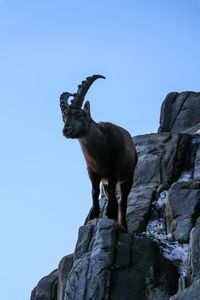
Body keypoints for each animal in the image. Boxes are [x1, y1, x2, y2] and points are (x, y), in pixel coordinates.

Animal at [59, 74, 138, 227]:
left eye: (79, 115)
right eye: (63, 118)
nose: (65, 130)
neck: (100, 151)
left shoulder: (114, 170)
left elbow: (113, 193)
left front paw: (109, 213)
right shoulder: (93, 172)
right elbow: (94, 191)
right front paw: (95, 214)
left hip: (128, 177)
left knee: (122, 200)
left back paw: (122, 224)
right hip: (105, 183)